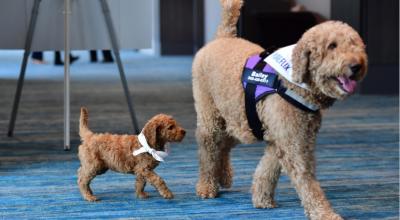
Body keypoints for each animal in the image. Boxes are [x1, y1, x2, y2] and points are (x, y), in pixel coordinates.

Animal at [192, 0, 368, 219]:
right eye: (332, 46)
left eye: (355, 44)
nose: (357, 65)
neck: (295, 83)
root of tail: (223, 36)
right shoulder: (293, 144)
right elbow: (307, 183)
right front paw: (324, 213)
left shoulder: (286, 138)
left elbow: (267, 170)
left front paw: (262, 199)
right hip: (211, 116)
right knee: (208, 149)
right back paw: (207, 185)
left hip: (237, 119)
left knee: (224, 145)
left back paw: (223, 176)